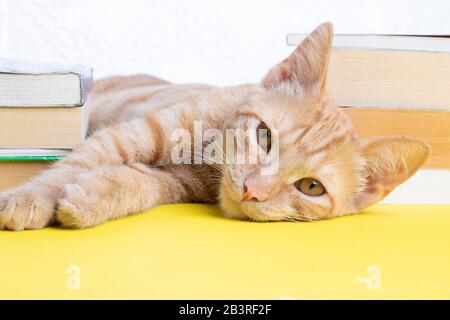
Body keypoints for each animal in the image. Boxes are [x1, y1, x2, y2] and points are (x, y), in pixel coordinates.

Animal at [0, 21, 428, 230]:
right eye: (264, 135)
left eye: (311, 187)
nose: (253, 190)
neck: (207, 161)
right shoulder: (132, 133)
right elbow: (72, 163)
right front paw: (28, 199)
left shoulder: (173, 184)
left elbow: (141, 184)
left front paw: (93, 197)